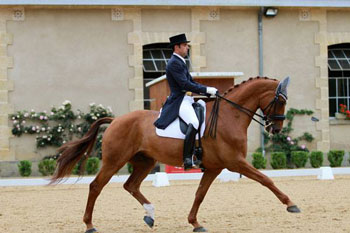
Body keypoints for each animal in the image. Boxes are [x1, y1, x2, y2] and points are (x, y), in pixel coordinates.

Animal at [50, 76, 300, 233]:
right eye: (280, 100)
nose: (276, 129)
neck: (230, 115)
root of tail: (115, 120)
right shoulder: (235, 162)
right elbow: (265, 179)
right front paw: (291, 204)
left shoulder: (214, 167)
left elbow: (199, 194)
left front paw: (195, 223)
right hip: (115, 161)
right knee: (96, 186)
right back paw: (89, 225)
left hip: (145, 161)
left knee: (131, 185)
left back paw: (150, 215)